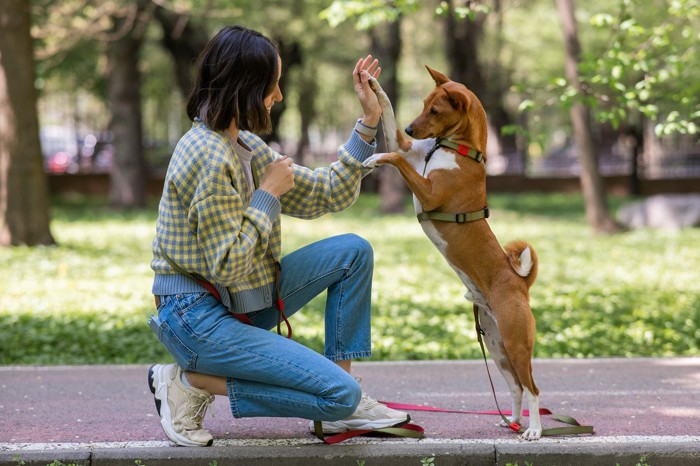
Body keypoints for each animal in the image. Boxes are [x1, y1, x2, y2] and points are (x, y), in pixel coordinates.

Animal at [364, 66, 544, 440]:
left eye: (435, 111)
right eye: (422, 104)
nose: (410, 129)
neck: (458, 149)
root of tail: (521, 284)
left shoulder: (430, 193)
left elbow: (395, 157)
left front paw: (374, 158)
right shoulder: (408, 149)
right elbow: (388, 115)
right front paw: (372, 84)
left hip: (517, 344)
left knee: (533, 388)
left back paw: (533, 430)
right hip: (497, 347)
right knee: (516, 387)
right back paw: (512, 421)